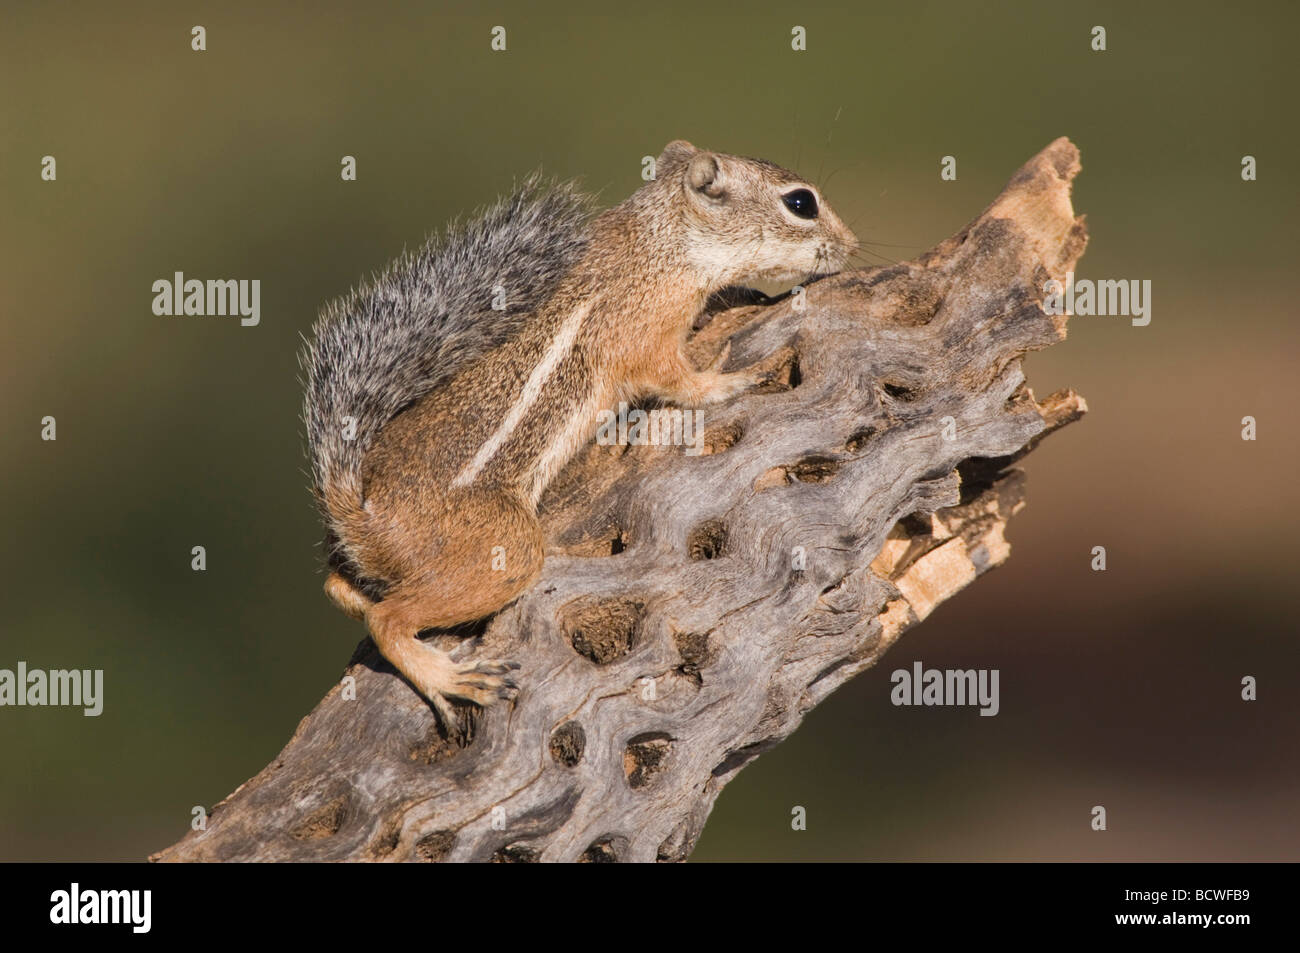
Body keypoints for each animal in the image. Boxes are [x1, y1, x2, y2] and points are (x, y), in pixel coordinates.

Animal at [299, 137, 857, 722]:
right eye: (801, 203)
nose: (851, 245)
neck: (665, 241)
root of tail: (361, 514)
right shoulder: (644, 336)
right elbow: (682, 383)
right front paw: (736, 378)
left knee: (340, 587)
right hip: (505, 549)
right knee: (388, 619)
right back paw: (449, 678)